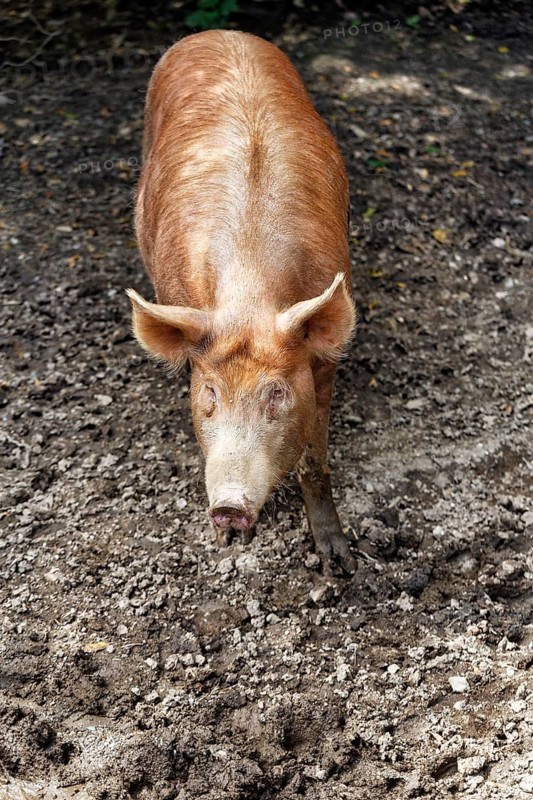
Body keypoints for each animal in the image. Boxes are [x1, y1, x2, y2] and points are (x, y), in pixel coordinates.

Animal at [126, 30, 357, 574]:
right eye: (209, 393)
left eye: (277, 393)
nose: (229, 506)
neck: (250, 299)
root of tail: (221, 33)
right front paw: (227, 545)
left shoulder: (325, 361)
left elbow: (315, 458)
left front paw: (339, 563)